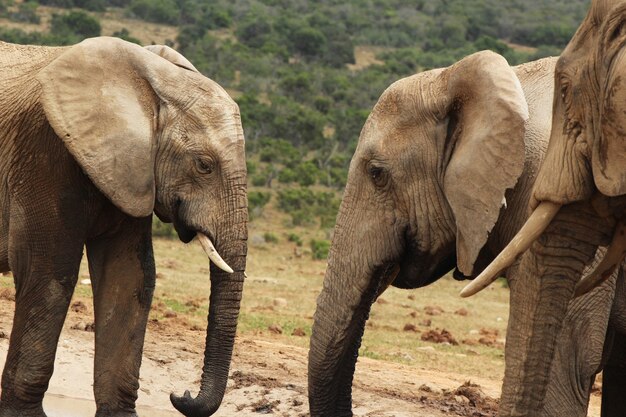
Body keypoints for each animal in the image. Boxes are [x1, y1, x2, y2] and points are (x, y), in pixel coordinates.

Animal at [0, 36, 247, 416]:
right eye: (204, 165)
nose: (181, 395)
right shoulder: (44, 151)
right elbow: (48, 273)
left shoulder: (134, 171)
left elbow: (129, 276)